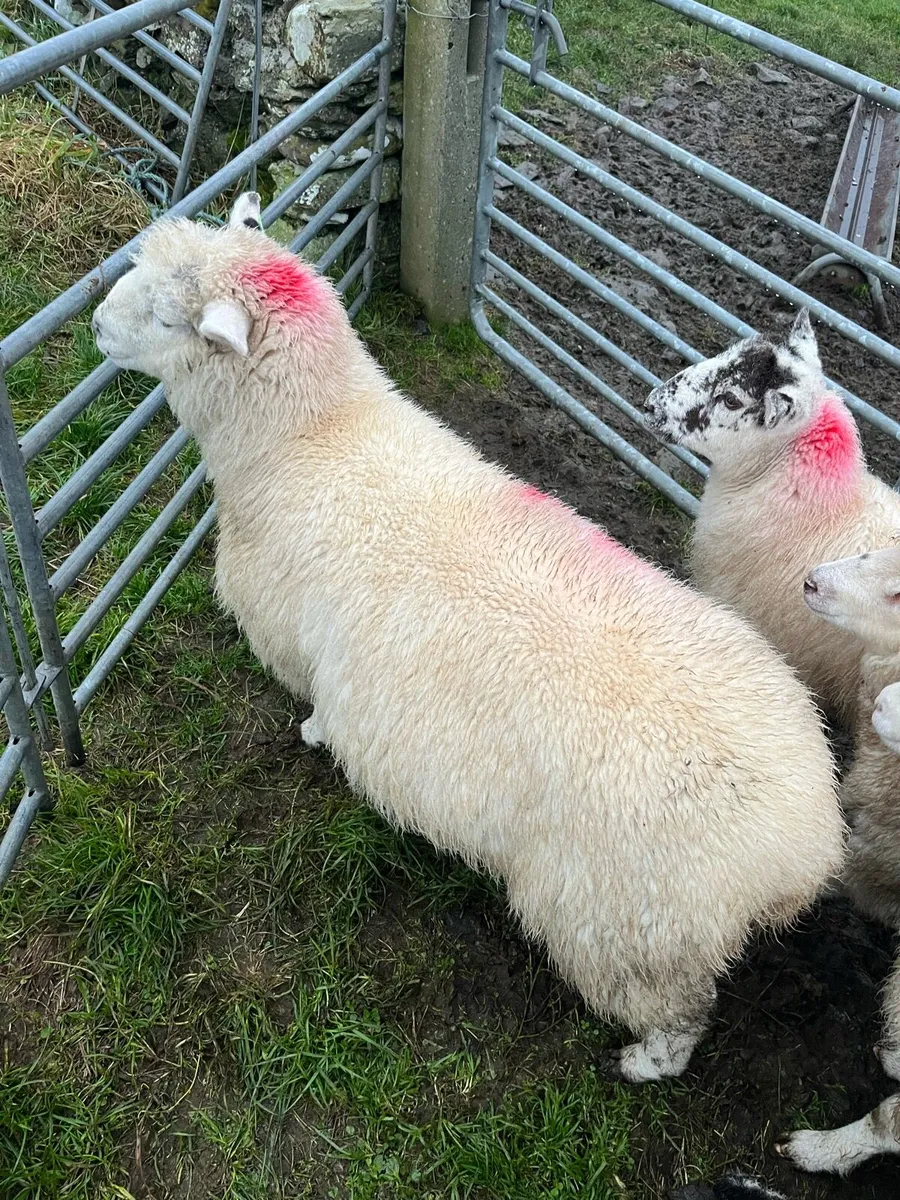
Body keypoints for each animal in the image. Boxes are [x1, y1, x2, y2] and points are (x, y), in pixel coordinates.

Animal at [90, 192, 845, 1082]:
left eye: (168, 317)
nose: (95, 324)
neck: (309, 441)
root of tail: (806, 843)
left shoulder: (295, 639)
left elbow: (318, 708)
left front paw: (314, 735)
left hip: (628, 926)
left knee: (675, 1016)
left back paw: (642, 1063)